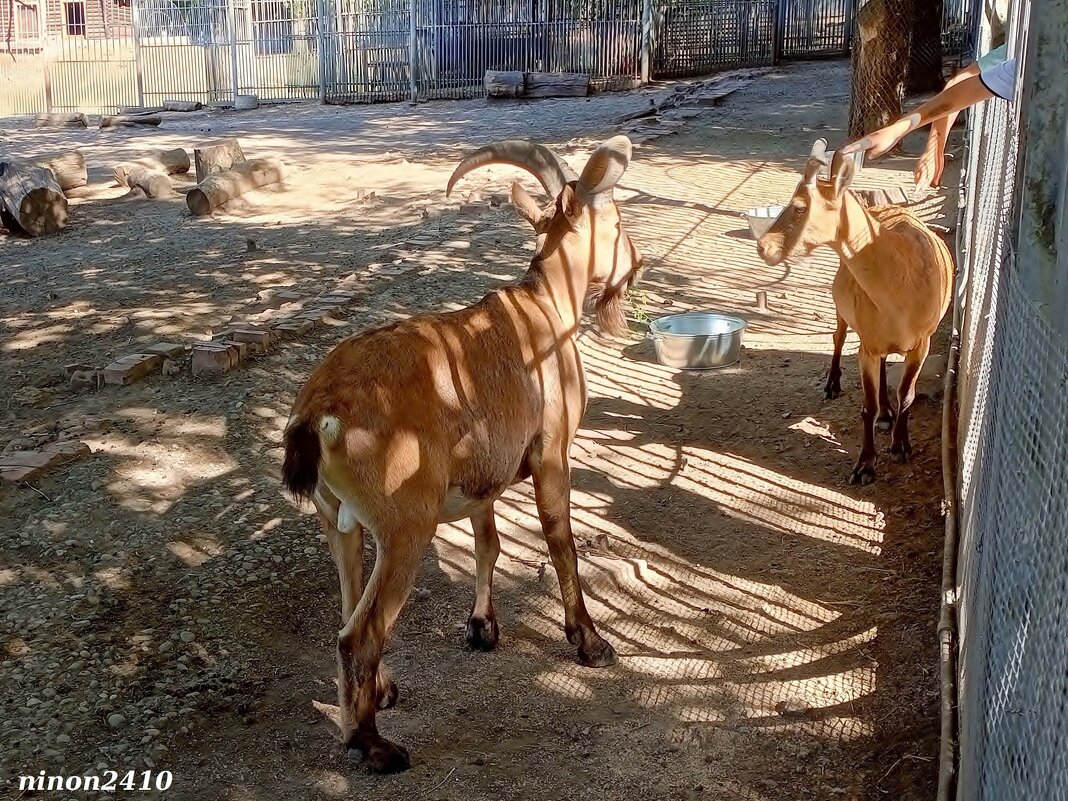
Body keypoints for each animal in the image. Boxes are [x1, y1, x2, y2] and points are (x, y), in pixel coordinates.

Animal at [279, 135, 640, 773]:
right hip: (406, 526)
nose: (637, 259)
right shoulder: (551, 456)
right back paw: (375, 746)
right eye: (616, 221)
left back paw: (378, 696)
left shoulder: (483, 479)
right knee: (359, 634)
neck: (544, 309)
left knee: (347, 605)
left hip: (338, 521)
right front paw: (590, 643)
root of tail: (318, 412)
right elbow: (563, 546)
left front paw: (483, 628)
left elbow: (488, 543)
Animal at [756, 139, 956, 482]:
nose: (764, 247)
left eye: (800, 206)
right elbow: (867, 406)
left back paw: (888, 414)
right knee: (837, 338)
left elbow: (907, 395)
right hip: (841, 307)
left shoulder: (923, 342)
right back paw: (833, 386)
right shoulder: (867, 344)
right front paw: (864, 466)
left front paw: (901, 447)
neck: (900, 295)